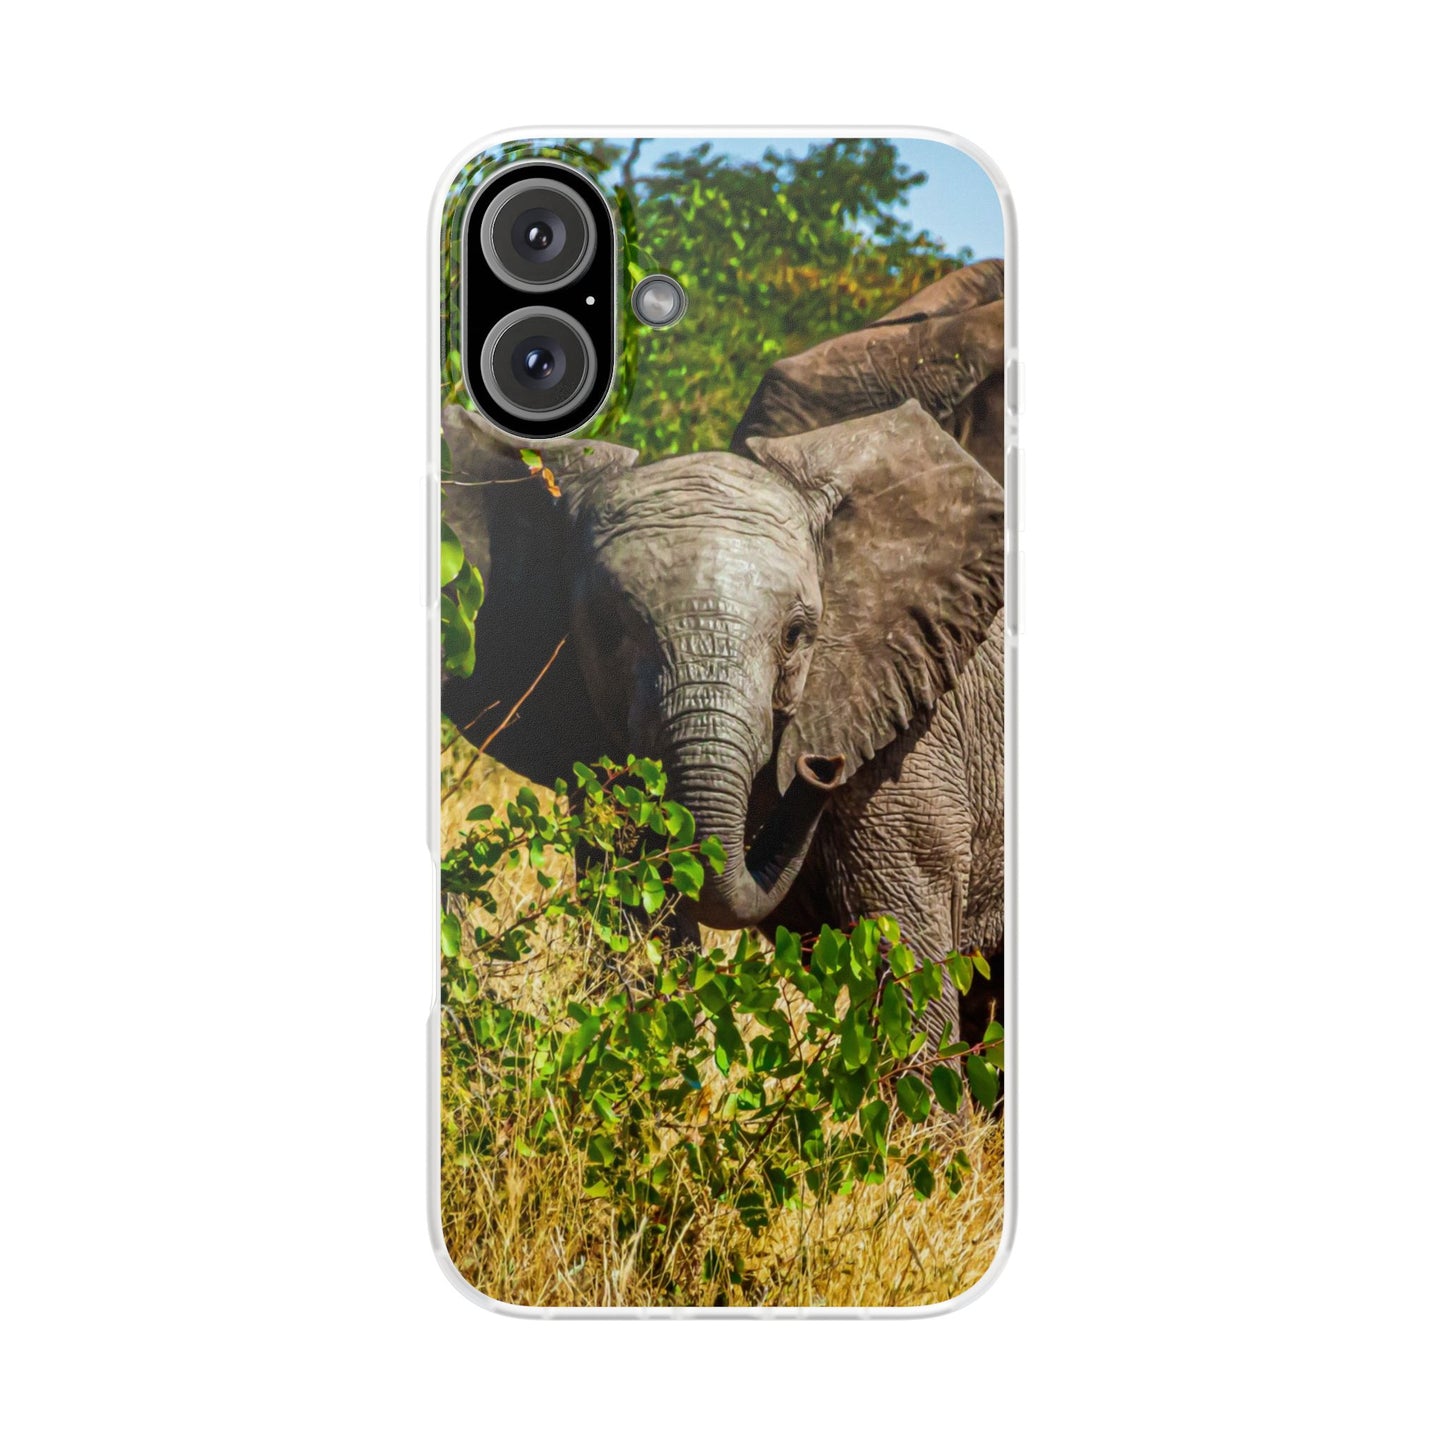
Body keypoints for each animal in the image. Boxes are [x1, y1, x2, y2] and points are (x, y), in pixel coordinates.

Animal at [440, 395, 1006, 1046]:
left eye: (795, 636)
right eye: (606, 629)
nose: (821, 767)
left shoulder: (909, 738)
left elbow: (904, 963)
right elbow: (636, 920)